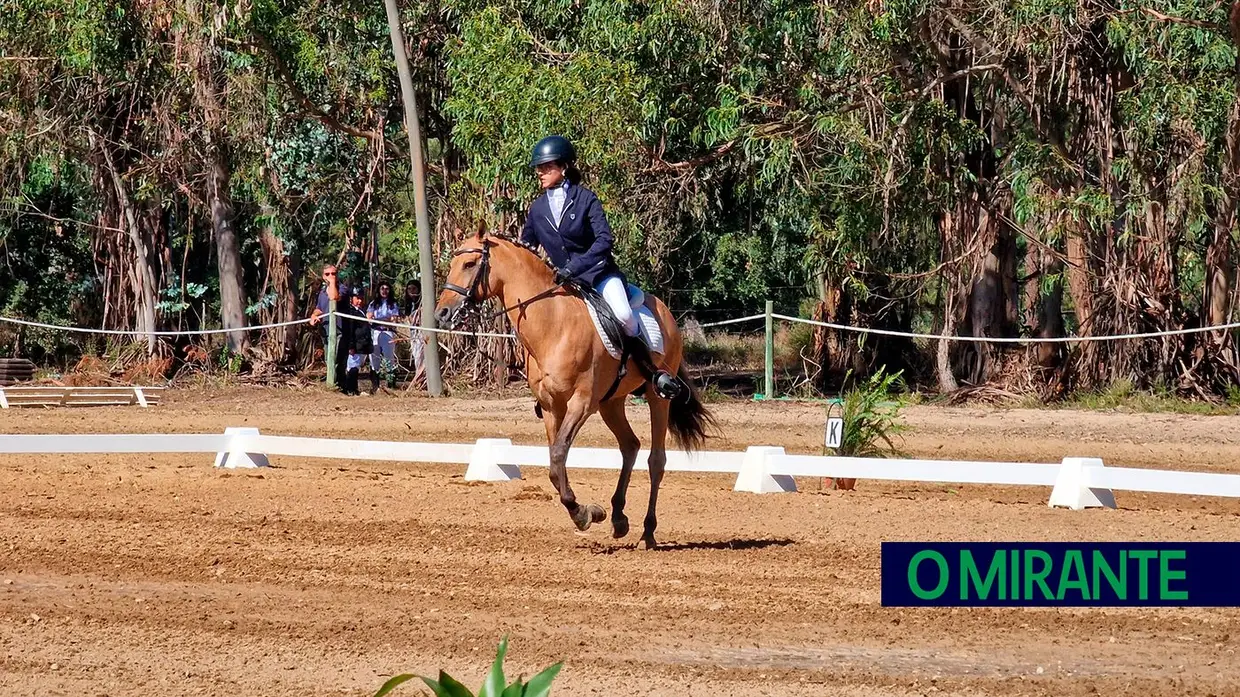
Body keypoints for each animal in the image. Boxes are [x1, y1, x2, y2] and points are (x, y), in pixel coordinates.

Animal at [434, 230, 719, 545]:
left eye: (470, 264)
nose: (442, 314)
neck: (553, 324)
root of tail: (664, 310)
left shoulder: (581, 403)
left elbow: (559, 454)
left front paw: (583, 513)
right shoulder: (551, 406)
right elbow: (554, 464)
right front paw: (587, 512)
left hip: (657, 397)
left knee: (656, 459)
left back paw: (648, 532)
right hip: (611, 402)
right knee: (630, 445)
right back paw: (619, 518)